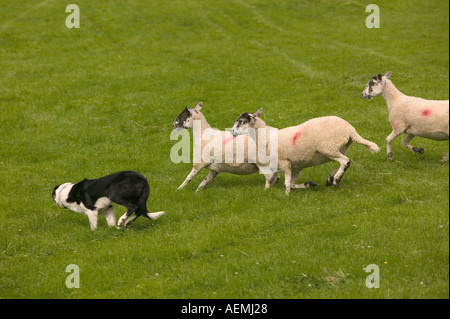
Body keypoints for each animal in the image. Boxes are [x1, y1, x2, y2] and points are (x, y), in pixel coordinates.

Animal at [229, 109, 380, 195]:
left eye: (240, 121)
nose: (232, 131)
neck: (265, 136)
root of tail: (350, 130)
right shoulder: (296, 167)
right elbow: (292, 183)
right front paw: (308, 184)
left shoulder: (285, 163)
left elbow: (287, 183)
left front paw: (286, 195)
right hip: (339, 147)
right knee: (344, 161)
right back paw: (331, 178)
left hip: (327, 147)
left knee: (345, 161)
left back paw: (336, 180)